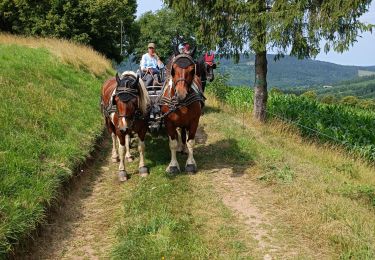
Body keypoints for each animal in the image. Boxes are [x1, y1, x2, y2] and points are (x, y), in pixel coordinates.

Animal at [159, 46, 206, 175]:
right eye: (173, 69)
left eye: (192, 70)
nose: (181, 94)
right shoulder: (168, 122)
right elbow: (173, 143)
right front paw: (173, 166)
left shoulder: (194, 121)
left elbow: (190, 141)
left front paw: (190, 164)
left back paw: (184, 149)